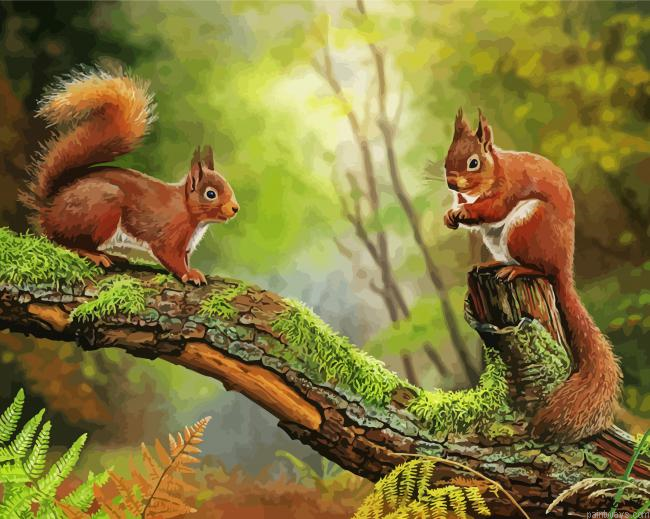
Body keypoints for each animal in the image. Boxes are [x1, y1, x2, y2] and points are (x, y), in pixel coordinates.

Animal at [20, 66, 239, 285]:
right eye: (211, 194)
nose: (235, 208)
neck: (187, 209)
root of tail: (49, 210)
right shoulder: (170, 234)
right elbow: (171, 257)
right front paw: (189, 274)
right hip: (102, 209)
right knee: (65, 243)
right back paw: (93, 254)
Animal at [443, 109, 621, 442]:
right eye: (447, 157)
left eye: (473, 162)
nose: (450, 183)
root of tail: (564, 267)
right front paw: (452, 213)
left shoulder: (508, 188)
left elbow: (492, 209)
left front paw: (465, 212)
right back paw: (491, 265)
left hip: (526, 228)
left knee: (541, 269)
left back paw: (517, 269)